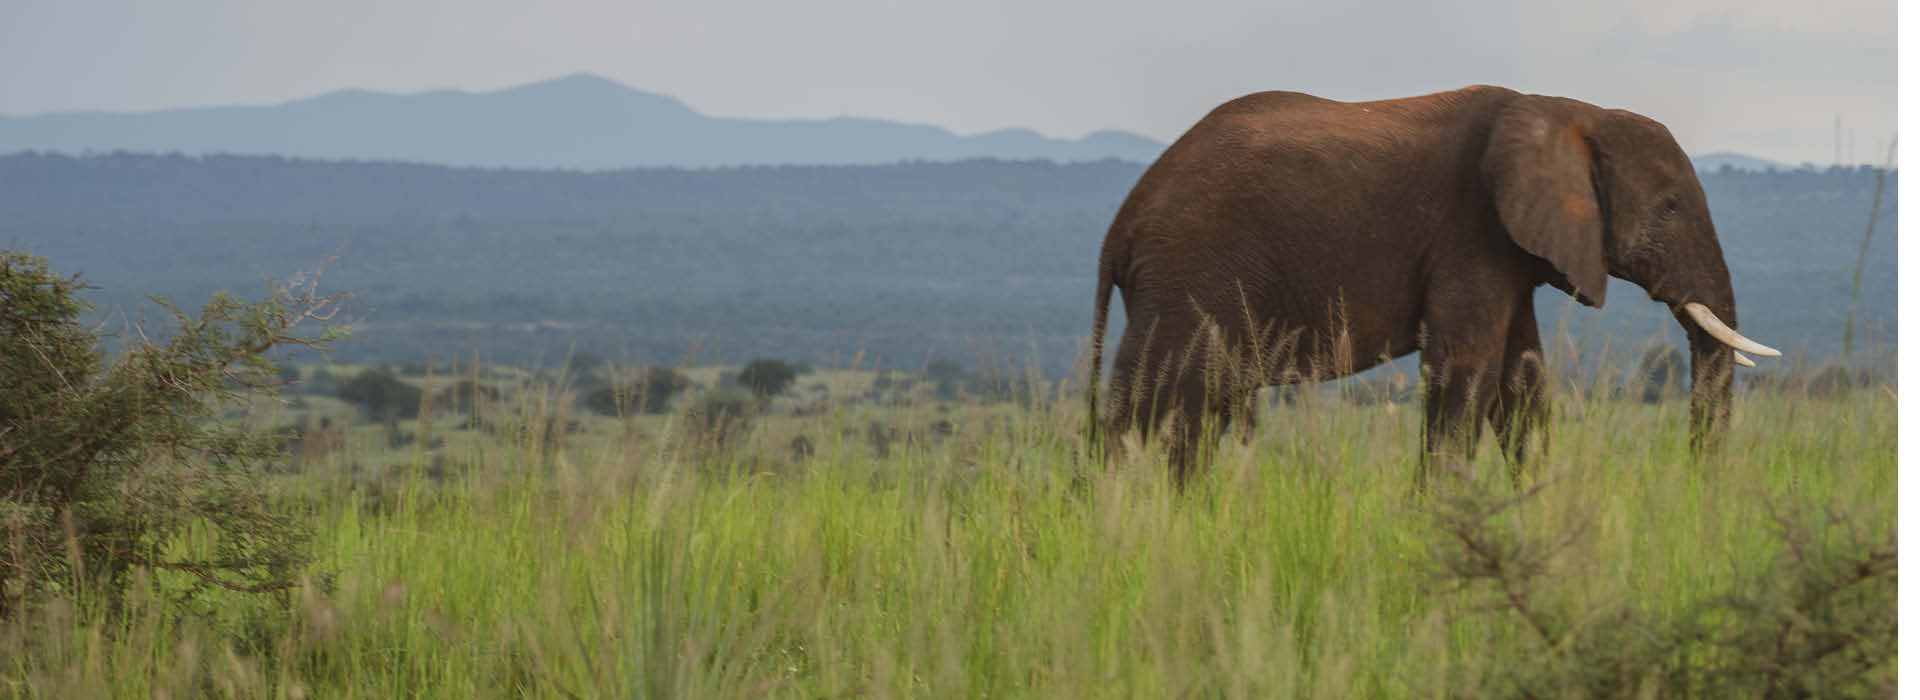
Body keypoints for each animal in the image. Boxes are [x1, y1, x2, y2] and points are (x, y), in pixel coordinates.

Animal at [1085, 85, 1779, 484]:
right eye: (1669, 207)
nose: (1698, 484)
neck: (1569, 110)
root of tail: (1121, 223)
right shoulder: (1468, 230)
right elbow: (1467, 369)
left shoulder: (1506, 248)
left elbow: (1522, 379)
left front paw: (1536, 505)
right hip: (1186, 278)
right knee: (1160, 405)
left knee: (1181, 412)